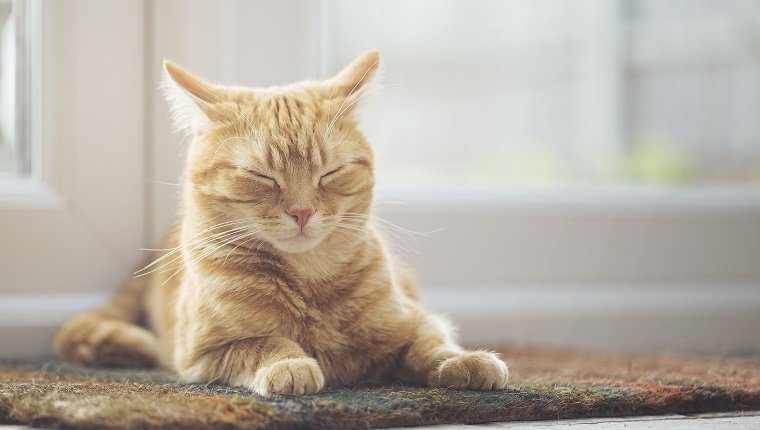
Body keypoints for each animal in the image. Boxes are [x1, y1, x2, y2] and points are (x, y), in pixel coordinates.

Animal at [50, 51, 508, 396]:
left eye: (330, 173)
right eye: (262, 176)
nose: (302, 212)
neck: (309, 281)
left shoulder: (412, 321)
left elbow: (431, 343)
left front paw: (464, 360)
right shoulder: (205, 352)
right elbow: (266, 342)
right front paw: (291, 364)